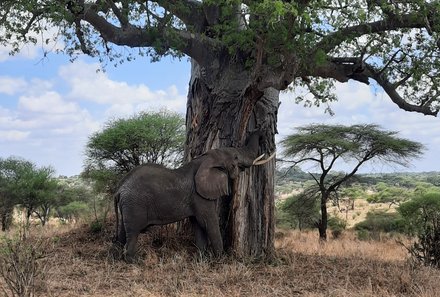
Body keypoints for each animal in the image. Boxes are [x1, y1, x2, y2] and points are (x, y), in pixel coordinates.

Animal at [113, 131, 272, 260]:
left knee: (123, 231)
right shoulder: (199, 195)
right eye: (236, 157)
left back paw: (117, 257)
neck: (204, 160)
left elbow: (198, 224)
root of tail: (119, 189)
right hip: (134, 204)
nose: (263, 134)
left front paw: (201, 259)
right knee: (133, 232)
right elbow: (208, 221)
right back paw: (134, 261)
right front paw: (220, 260)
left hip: (127, 204)